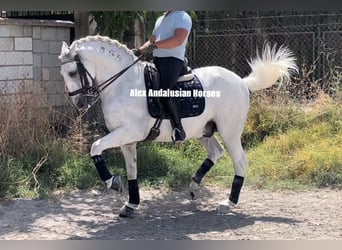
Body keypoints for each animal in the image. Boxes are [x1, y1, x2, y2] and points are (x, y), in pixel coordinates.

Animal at [58, 35, 296, 217]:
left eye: (72, 73)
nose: (80, 104)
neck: (123, 83)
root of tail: (242, 82)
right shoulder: (126, 139)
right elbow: (132, 170)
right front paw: (131, 204)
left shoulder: (128, 132)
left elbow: (95, 147)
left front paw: (113, 183)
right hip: (203, 131)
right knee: (216, 152)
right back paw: (193, 186)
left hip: (229, 132)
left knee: (240, 161)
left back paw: (228, 203)